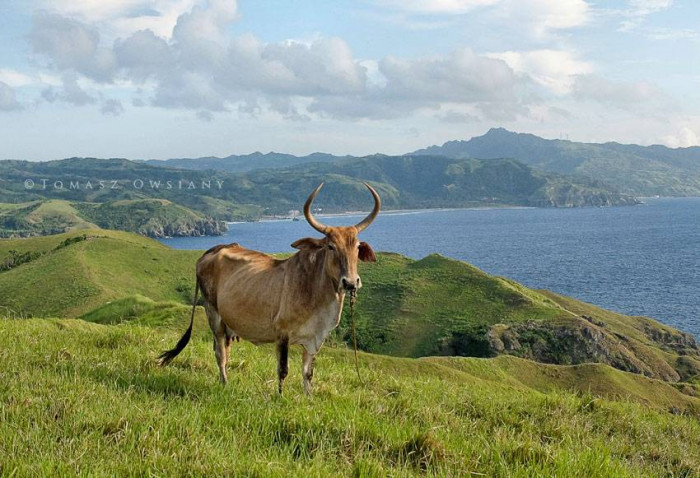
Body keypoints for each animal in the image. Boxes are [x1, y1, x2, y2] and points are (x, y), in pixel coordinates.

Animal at [159, 181, 380, 394]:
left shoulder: (315, 339)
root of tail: (213, 250)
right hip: (213, 315)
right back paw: (224, 383)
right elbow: (283, 370)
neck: (316, 292)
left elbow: (308, 374)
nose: (350, 282)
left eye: (357, 247)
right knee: (219, 352)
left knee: (225, 351)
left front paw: (309, 398)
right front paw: (279, 397)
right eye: (331, 246)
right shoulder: (282, 334)